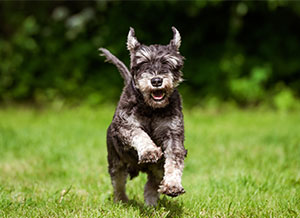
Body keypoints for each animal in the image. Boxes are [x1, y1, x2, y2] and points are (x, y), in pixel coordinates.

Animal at [99, 27, 186, 206]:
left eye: (168, 63)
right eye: (142, 63)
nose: (156, 80)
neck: (151, 108)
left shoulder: (173, 134)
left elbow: (174, 160)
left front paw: (173, 185)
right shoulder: (124, 126)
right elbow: (139, 133)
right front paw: (149, 151)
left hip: (157, 170)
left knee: (151, 184)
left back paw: (151, 204)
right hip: (116, 162)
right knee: (118, 183)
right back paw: (122, 201)